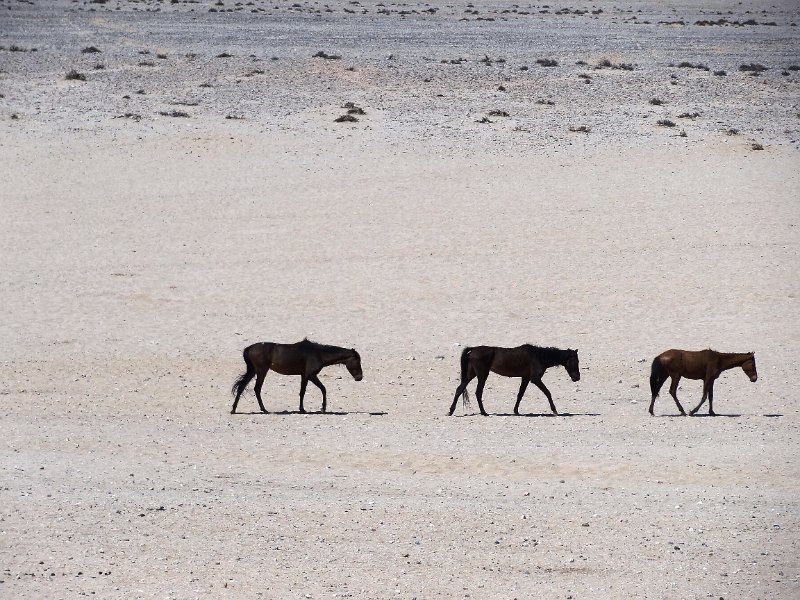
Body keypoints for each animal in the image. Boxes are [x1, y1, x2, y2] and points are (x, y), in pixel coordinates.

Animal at [231, 339, 363, 414]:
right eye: (357, 360)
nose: (360, 377)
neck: (319, 354)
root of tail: (249, 348)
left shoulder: (304, 376)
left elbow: (302, 392)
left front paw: (303, 409)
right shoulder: (310, 375)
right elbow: (322, 389)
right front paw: (322, 408)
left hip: (253, 371)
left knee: (242, 387)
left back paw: (234, 409)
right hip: (261, 371)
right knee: (257, 389)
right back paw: (263, 409)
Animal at [449, 345, 580, 416]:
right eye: (576, 361)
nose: (577, 378)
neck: (539, 356)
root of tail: (473, 349)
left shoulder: (526, 378)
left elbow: (520, 394)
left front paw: (516, 411)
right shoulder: (535, 379)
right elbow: (548, 393)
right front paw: (554, 410)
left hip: (471, 374)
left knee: (459, 389)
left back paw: (451, 411)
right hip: (482, 374)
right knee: (478, 392)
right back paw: (484, 412)